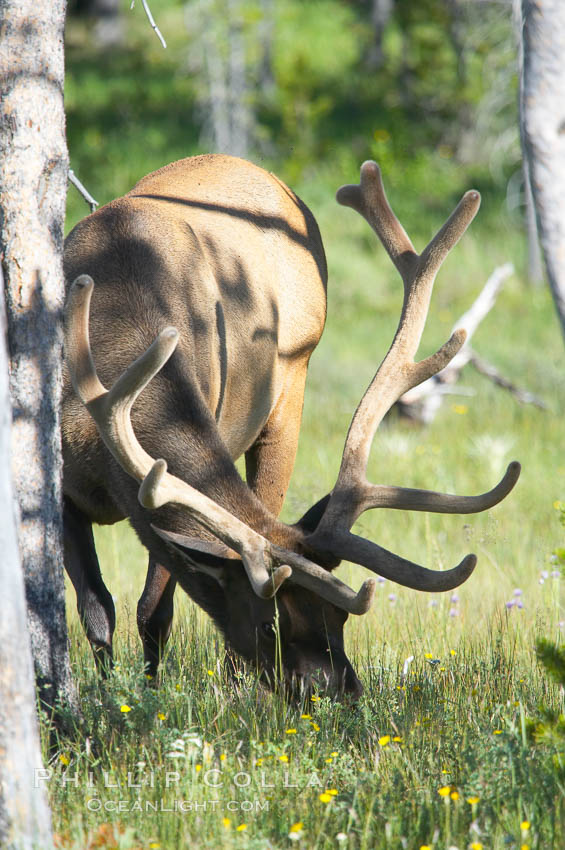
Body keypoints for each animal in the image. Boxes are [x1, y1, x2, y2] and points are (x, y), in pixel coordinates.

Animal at [62, 152, 520, 696]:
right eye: (270, 624)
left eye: (339, 617)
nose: (342, 690)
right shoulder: (66, 485)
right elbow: (98, 609)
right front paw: (111, 697)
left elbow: (153, 610)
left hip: (291, 384)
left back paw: (238, 683)